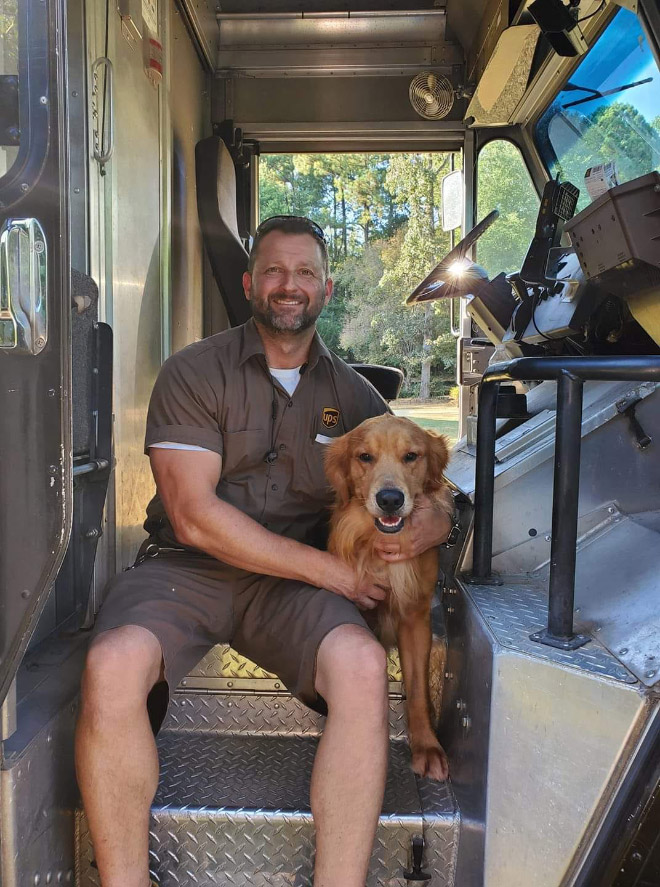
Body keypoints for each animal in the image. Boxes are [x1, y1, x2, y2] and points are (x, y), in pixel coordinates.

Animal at [324, 412, 454, 780]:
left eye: (411, 456)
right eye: (365, 457)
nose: (391, 499)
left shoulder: (415, 617)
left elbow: (419, 689)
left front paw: (426, 746)